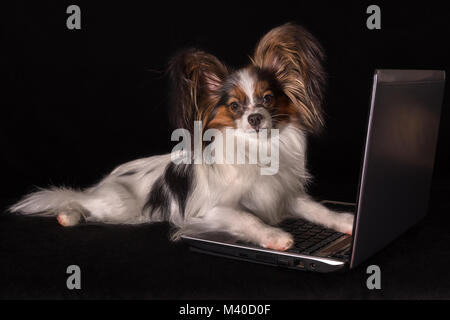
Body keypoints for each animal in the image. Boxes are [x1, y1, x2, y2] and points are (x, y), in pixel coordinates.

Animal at [8, 23, 354, 251]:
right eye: (235, 106)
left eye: (268, 99)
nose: (255, 118)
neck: (258, 149)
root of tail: (110, 177)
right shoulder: (214, 210)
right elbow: (249, 220)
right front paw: (275, 236)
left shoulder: (286, 196)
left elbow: (318, 209)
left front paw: (347, 221)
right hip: (118, 204)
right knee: (77, 199)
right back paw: (68, 214)